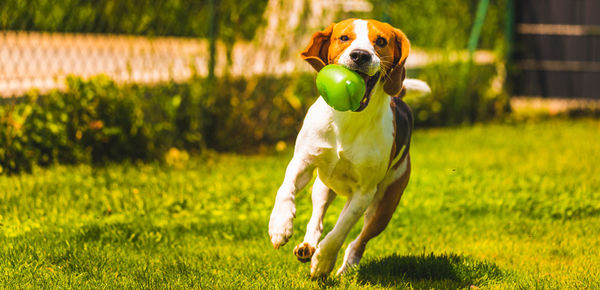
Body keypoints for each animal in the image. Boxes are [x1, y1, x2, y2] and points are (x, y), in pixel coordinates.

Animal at [270, 18, 428, 278]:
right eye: (344, 38)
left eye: (381, 41)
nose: (360, 55)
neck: (348, 118)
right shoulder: (302, 162)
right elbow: (286, 188)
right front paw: (280, 224)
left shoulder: (364, 192)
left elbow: (340, 230)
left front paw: (323, 262)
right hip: (322, 187)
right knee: (317, 219)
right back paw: (307, 245)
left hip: (384, 206)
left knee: (359, 240)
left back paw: (347, 264)